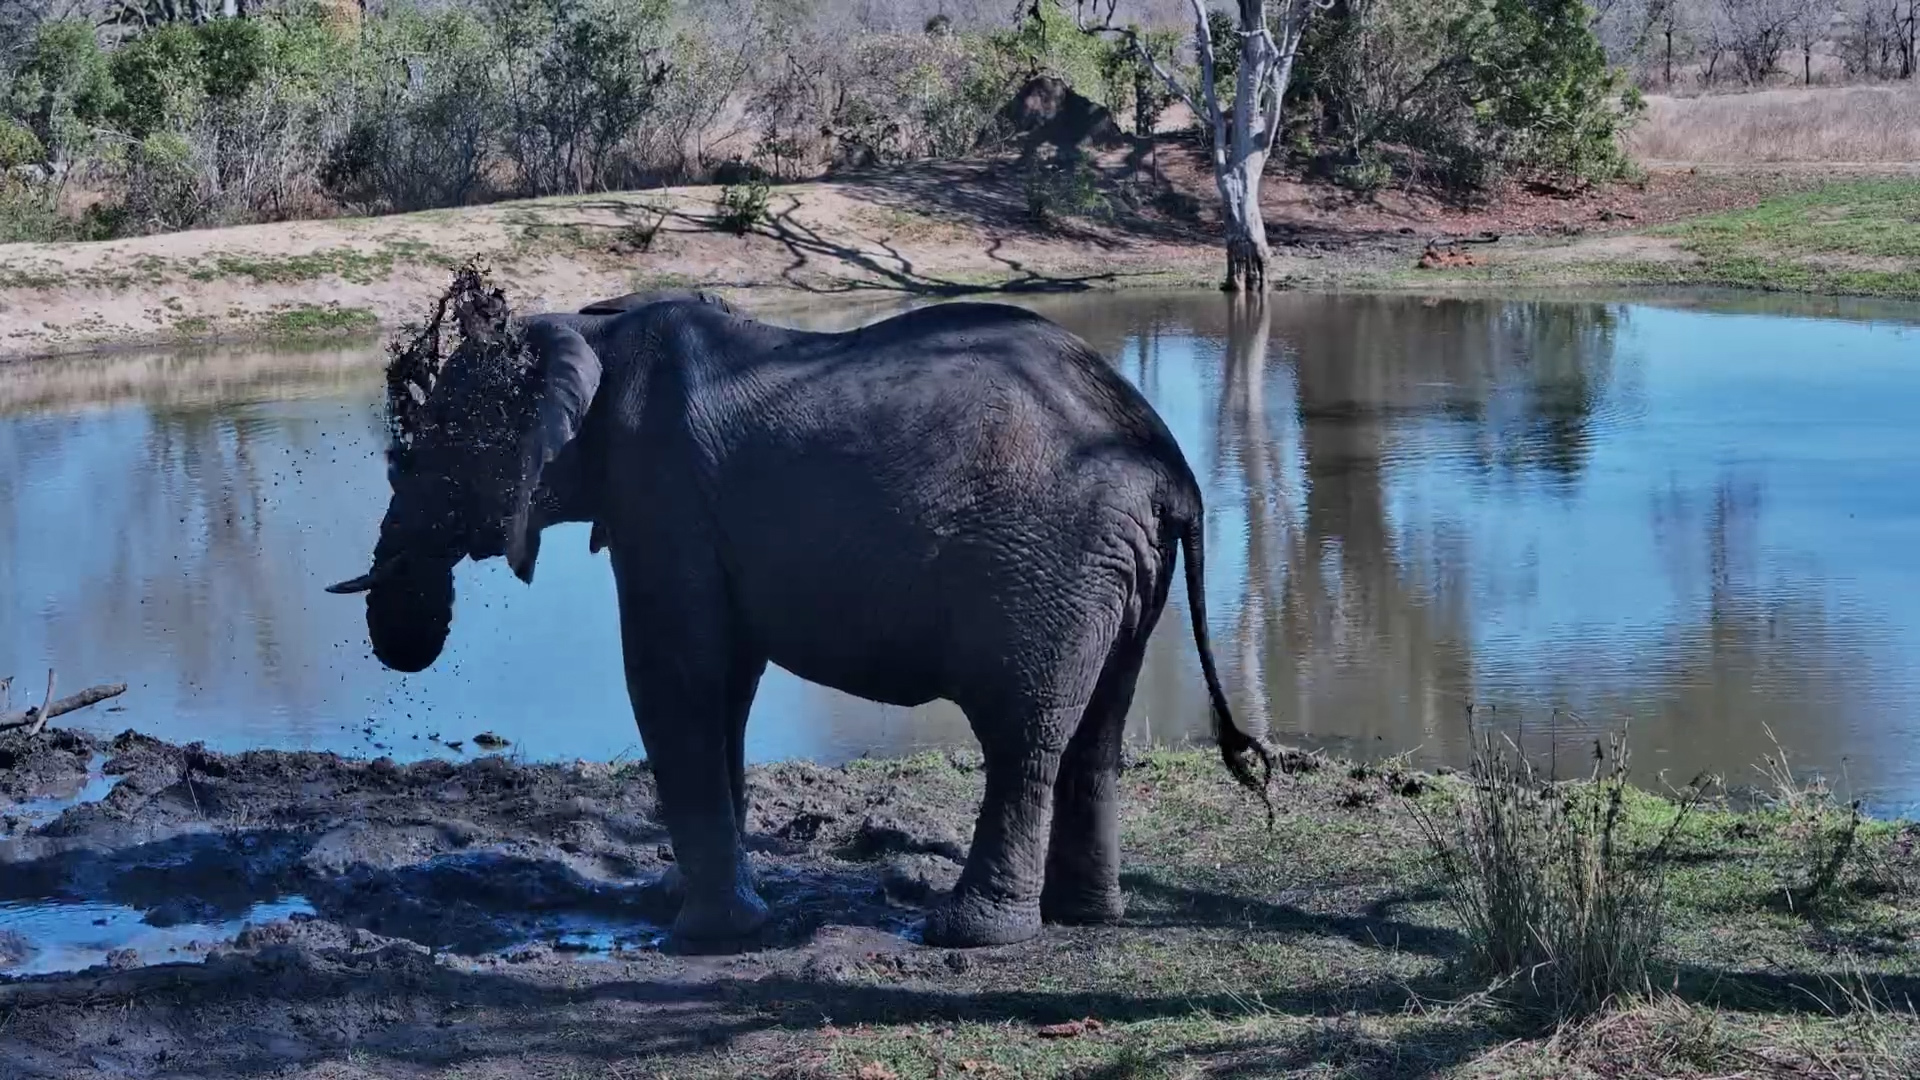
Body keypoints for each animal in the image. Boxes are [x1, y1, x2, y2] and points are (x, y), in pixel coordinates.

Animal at [326, 287, 1274, 951]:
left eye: (436, 446)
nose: (406, 637)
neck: (589, 329)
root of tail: (1171, 470)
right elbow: (724, 691)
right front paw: (685, 905)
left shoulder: (662, 495)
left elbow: (675, 679)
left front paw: (704, 937)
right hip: (1118, 574)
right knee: (1098, 730)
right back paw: (1084, 919)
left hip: (1053, 566)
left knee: (1023, 735)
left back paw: (967, 935)